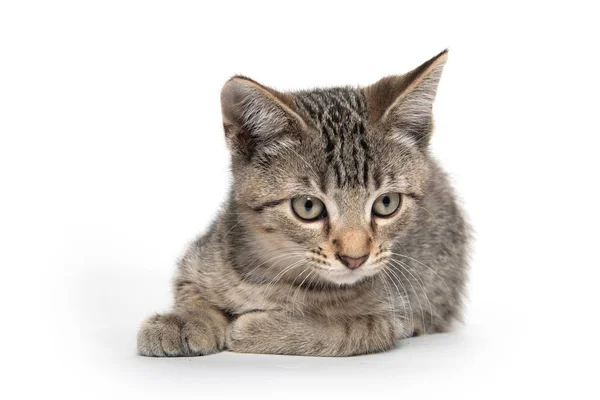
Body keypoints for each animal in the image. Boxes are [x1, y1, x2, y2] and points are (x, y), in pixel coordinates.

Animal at [138, 49, 472, 356]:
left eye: (387, 203)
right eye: (308, 207)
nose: (355, 259)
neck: (274, 274)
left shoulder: (386, 321)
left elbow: (334, 331)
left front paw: (258, 329)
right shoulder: (197, 260)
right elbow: (192, 292)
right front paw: (184, 321)